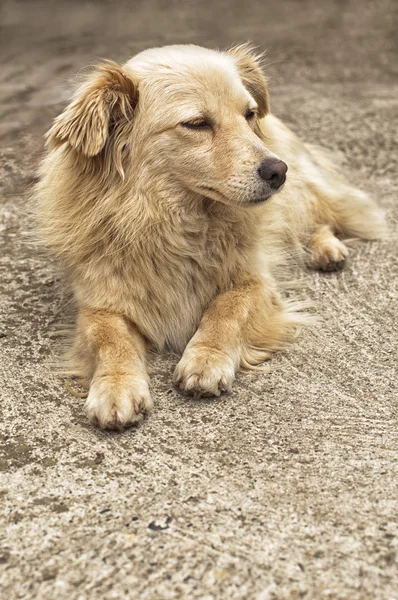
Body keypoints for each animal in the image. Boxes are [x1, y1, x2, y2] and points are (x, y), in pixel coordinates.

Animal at [35, 45, 386, 432]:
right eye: (197, 123)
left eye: (249, 114)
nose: (278, 171)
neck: (173, 223)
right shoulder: (98, 303)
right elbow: (109, 338)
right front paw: (116, 386)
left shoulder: (256, 282)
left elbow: (227, 308)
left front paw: (205, 359)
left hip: (301, 195)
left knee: (319, 217)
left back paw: (327, 249)